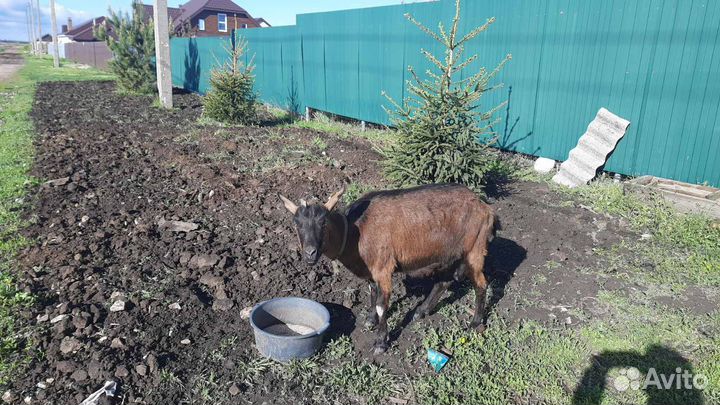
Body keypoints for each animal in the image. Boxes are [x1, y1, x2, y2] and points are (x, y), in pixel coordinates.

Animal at [279, 183, 497, 354]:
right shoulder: (370, 270)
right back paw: (421, 311)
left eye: (323, 222)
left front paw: (380, 342)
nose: (310, 253)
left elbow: (381, 304)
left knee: (481, 284)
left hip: (474, 249)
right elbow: (372, 292)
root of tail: (484, 207)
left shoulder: (383, 267)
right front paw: (370, 320)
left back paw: (475, 323)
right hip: (447, 254)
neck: (356, 232)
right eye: (296, 224)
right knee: (443, 281)